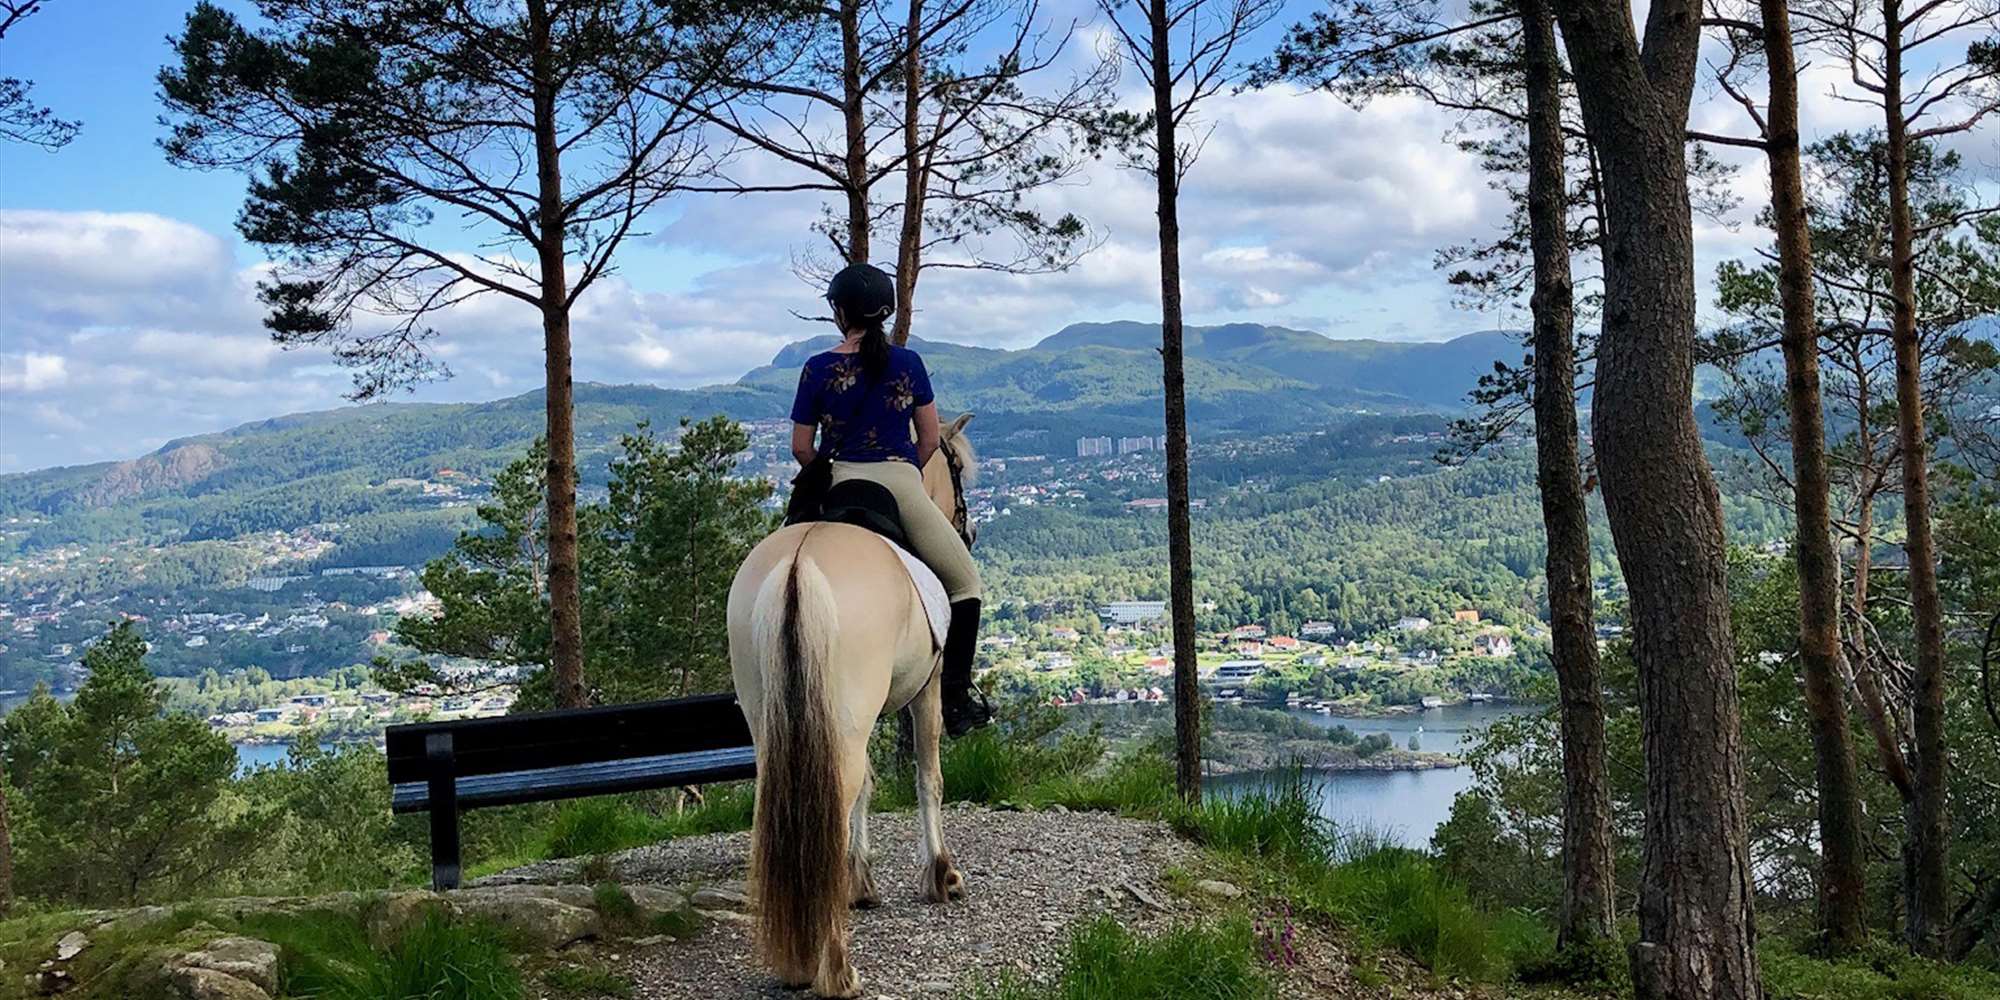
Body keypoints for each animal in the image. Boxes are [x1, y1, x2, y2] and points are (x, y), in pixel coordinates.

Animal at [736, 410, 984, 996]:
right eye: (958, 469)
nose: (968, 530)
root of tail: (797, 568)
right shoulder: (928, 689)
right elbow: (928, 779)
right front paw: (942, 876)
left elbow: (866, 788)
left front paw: (860, 883)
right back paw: (836, 969)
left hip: (775, 717)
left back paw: (797, 959)